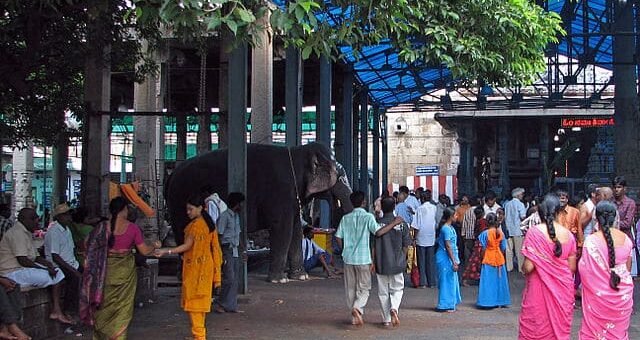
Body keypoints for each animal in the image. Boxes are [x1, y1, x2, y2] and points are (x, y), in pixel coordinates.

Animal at [164, 143, 356, 282]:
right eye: (341, 177)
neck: (298, 152)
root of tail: (172, 174)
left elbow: (295, 229)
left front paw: (301, 277)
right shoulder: (281, 193)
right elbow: (283, 229)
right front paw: (280, 280)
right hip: (180, 201)